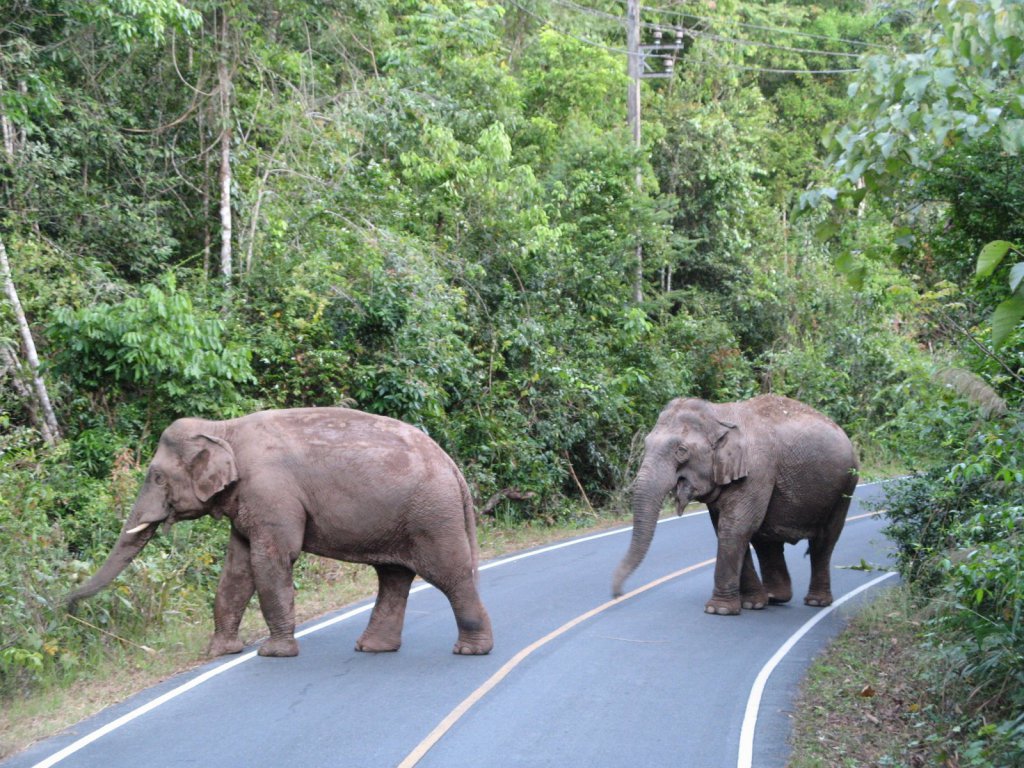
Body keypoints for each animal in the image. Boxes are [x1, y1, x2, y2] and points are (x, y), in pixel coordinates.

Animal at [67, 411, 491, 659]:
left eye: (156, 476)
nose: (67, 605)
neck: (223, 428)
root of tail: (454, 469)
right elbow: (236, 570)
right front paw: (219, 652)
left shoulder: (270, 492)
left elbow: (272, 560)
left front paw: (273, 653)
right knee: (393, 577)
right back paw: (372, 648)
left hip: (432, 517)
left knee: (449, 575)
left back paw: (470, 651)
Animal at [610, 393, 860, 618]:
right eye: (645, 444)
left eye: (681, 451)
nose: (616, 594)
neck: (719, 413)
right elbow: (728, 528)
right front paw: (749, 604)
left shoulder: (757, 469)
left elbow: (735, 527)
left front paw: (718, 610)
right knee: (765, 538)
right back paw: (772, 598)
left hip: (845, 486)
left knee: (823, 542)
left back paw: (816, 601)